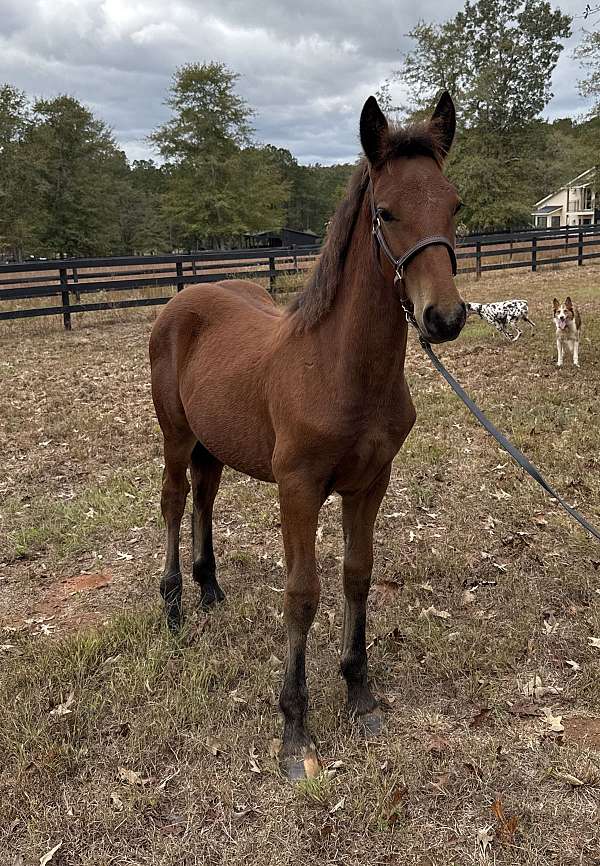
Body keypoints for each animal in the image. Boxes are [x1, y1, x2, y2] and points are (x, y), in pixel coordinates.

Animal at [149, 92, 466, 779]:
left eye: (454, 205)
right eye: (385, 211)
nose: (445, 317)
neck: (341, 367)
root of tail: (183, 297)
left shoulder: (370, 484)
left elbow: (357, 575)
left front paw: (360, 694)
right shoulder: (296, 490)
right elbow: (301, 594)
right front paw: (295, 730)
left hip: (216, 444)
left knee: (205, 495)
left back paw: (210, 586)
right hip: (176, 436)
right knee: (174, 500)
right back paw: (174, 604)